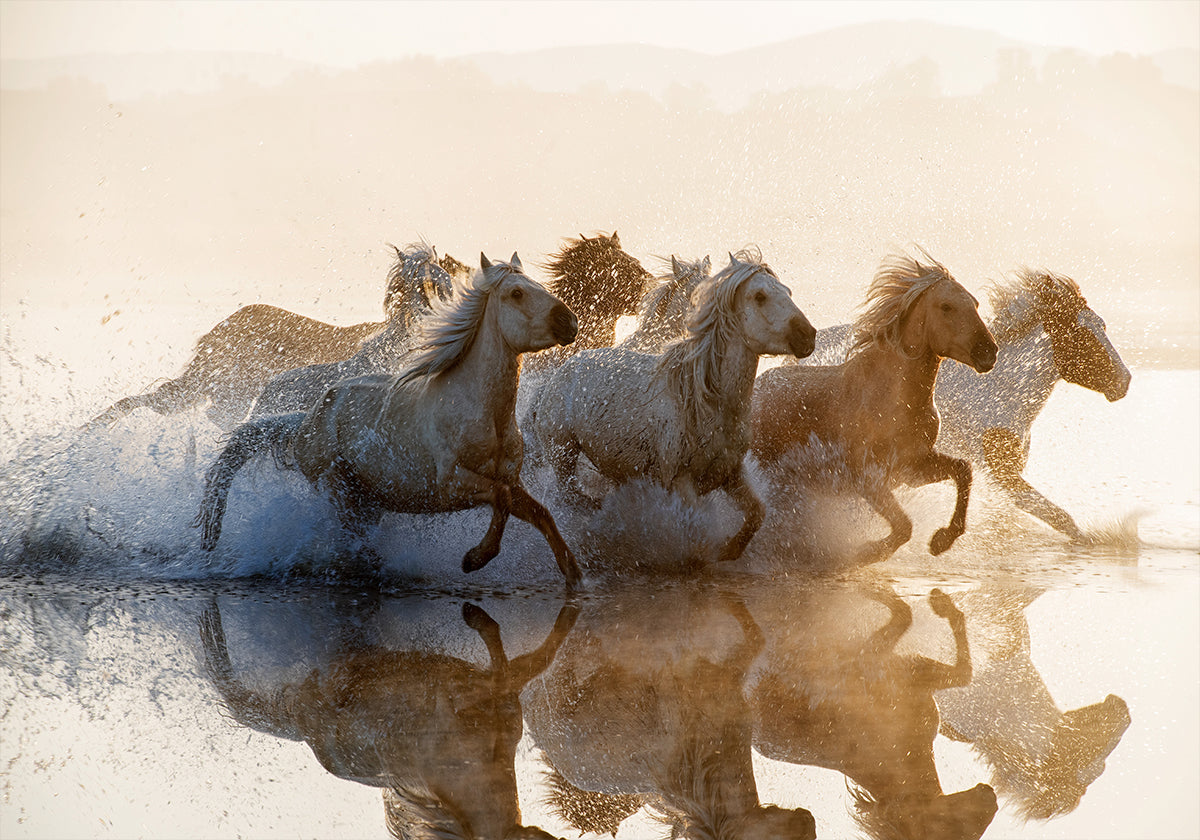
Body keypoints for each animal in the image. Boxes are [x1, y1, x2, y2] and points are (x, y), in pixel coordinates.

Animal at [531, 249, 815, 565]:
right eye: (760, 296)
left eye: (787, 291)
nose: (807, 335)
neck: (703, 401)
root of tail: (567, 366)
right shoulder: (681, 481)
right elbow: (697, 538)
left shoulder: (730, 472)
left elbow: (756, 514)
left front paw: (729, 551)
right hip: (563, 453)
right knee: (571, 496)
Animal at [750, 249, 998, 565]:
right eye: (946, 306)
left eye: (975, 304)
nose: (988, 351)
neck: (896, 400)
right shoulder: (867, 478)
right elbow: (904, 527)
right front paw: (866, 551)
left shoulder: (910, 468)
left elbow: (963, 470)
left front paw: (942, 540)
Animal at [798, 269, 1130, 540]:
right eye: (1082, 334)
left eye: (1102, 325)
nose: (1124, 381)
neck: (1000, 395)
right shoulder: (1004, 475)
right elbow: (1060, 517)